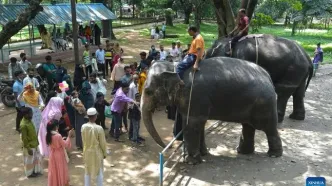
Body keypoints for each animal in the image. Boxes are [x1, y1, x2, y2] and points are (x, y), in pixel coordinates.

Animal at [141, 57, 284, 164]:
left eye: (148, 92)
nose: (169, 146)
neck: (174, 67)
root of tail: (268, 77)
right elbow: (199, 125)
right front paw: (204, 154)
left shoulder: (194, 96)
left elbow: (191, 125)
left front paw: (191, 161)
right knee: (248, 126)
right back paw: (242, 151)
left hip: (264, 105)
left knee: (267, 127)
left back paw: (273, 155)